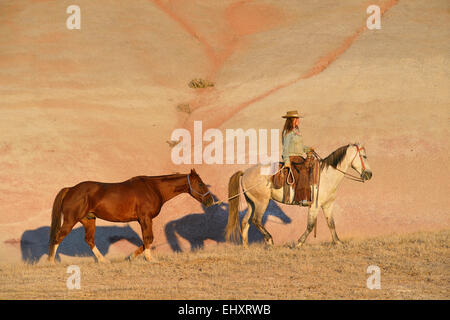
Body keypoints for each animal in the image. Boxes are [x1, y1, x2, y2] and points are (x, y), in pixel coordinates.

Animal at [48, 169, 214, 264]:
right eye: (200, 184)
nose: (210, 201)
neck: (153, 188)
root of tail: (71, 189)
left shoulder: (143, 220)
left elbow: (145, 240)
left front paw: (130, 258)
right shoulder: (145, 218)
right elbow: (148, 238)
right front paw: (150, 259)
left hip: (89, 220)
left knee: (89, 240)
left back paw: (103, 261)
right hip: (70, 220)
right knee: (58, 237)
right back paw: (51, 262)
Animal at [225, 144, 372, 246]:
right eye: (364, 156)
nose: (369, 174)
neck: (326, 176)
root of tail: (245, 172)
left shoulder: (327, 205)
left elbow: (331, 224)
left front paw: (338, 242)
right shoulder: (314, 206)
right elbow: (310, 225)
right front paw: (299, 242)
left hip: (252, 203)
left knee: (245, 222)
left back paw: (246, 247)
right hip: (262, 202)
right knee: (256, 220)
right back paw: (270, 240)